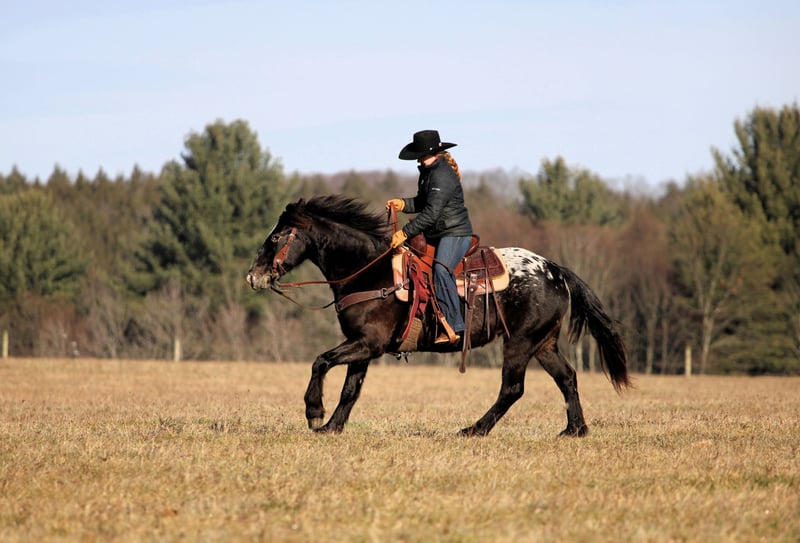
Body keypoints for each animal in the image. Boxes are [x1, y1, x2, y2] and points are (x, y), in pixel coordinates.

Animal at [246, 194, 630, 436]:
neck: (369, 270)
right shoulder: (363, 345)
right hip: (544, 343)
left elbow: (321, 361)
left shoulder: (367, 343)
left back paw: (474, 429)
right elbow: (350, 390)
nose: (253, 276)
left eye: (276, 236)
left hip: (520, 343)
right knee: (567, 377)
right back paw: (574, 429)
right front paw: (332, 427)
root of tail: (555, 270)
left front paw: (314, 413)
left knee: (513, 388)